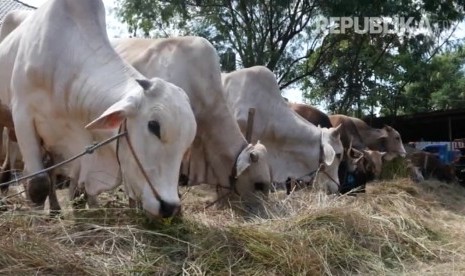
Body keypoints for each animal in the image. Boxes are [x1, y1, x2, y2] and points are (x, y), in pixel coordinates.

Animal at [0, 0, 196, 218]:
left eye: (187, 143)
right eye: (154, 126)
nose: (169, 206)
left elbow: (69, 181)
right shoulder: (23, 115)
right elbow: (38, 184)